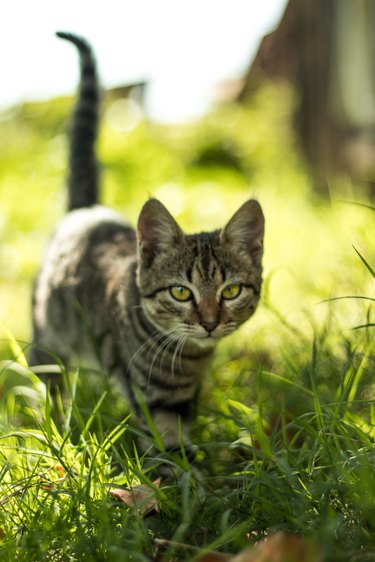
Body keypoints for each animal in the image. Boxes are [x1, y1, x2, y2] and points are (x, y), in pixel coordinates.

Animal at [30, 31, 264, 456]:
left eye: (231, 290)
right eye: (181, 292)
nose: (209, 323)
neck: (188, 358)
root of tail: (88, 210)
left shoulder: (185, 397)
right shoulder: (153, 400)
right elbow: (172, 452)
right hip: (48, 339)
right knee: (49, 383)